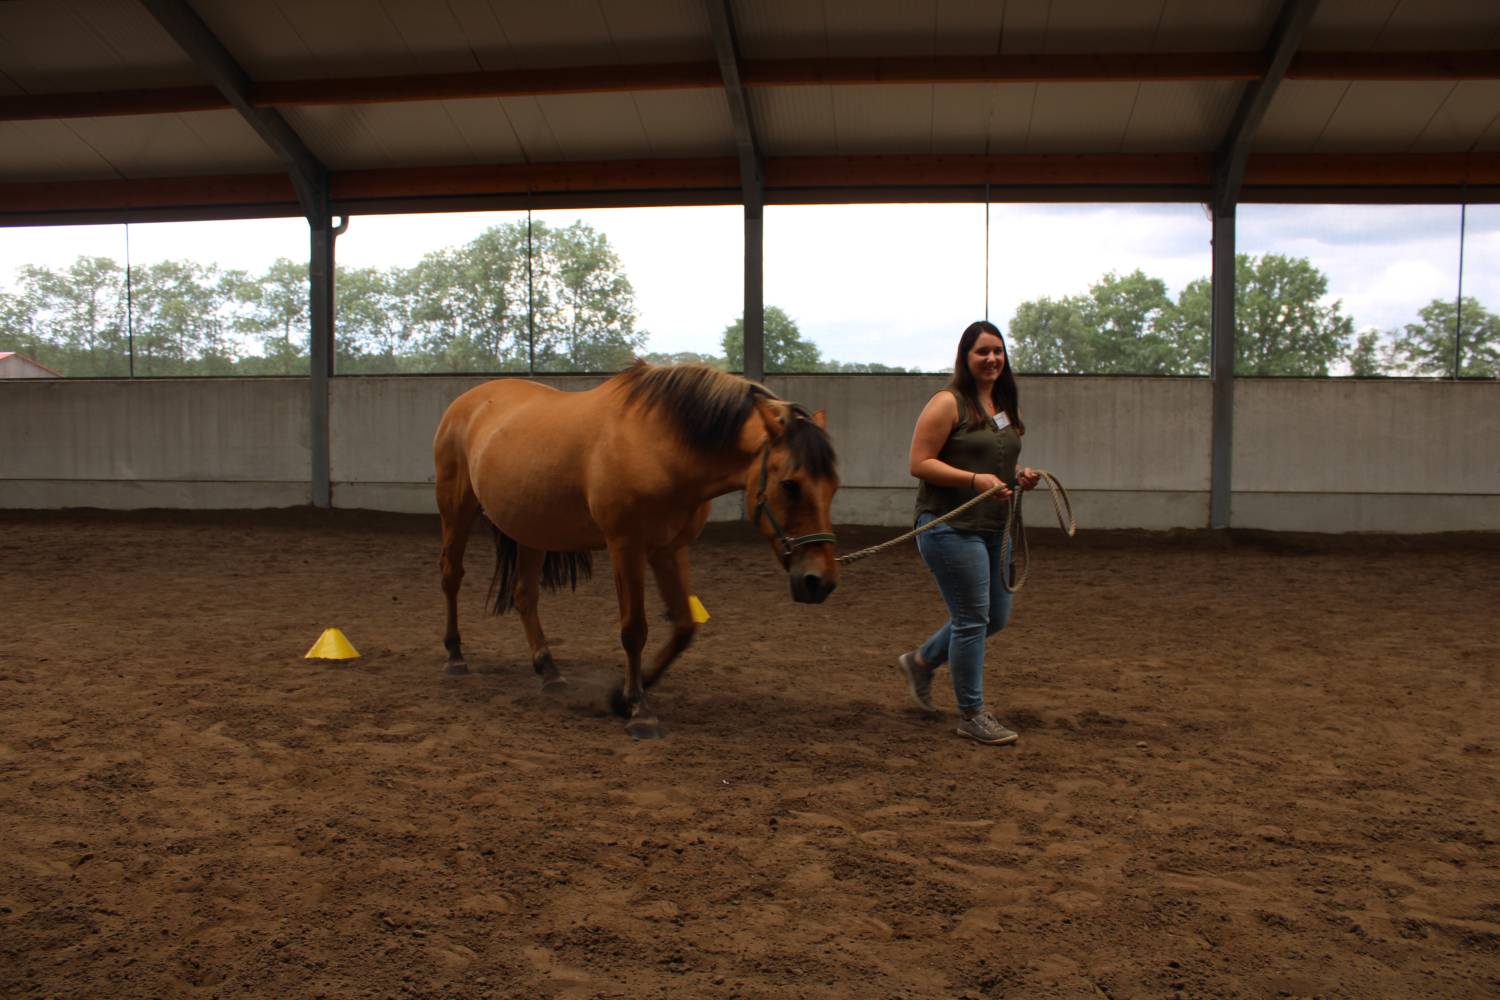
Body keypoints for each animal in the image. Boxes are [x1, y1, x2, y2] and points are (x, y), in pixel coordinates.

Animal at [432, 364, 846, 740]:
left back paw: (549, 671)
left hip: (532, 531)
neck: (659, 445)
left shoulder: (669, 549)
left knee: (524, 596)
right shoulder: (626, 547)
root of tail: (467, 401)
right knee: (451, 577)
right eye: (790, 485)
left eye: (833, 486)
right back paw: (454, 656)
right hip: (457, 511)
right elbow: (634, 629)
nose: (818, 581)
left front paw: (621, 696)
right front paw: (639, 710)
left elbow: (684, 627)